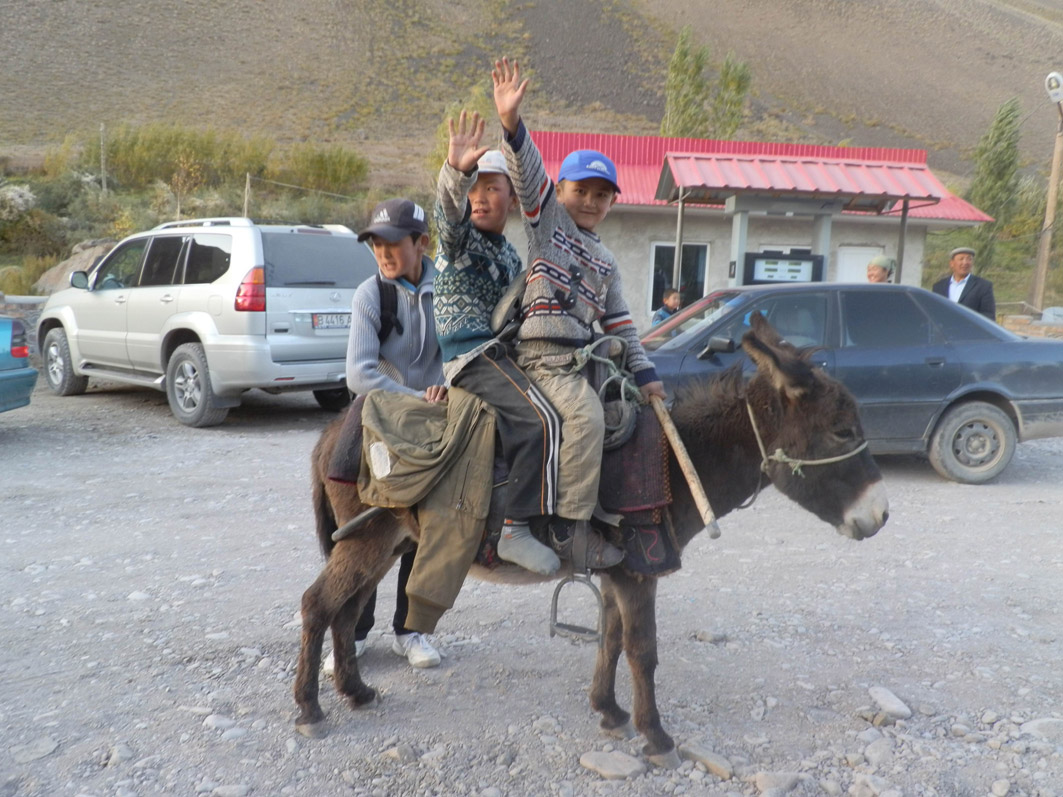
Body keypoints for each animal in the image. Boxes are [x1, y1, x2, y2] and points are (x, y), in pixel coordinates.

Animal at [293, 314, 889, 766]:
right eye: (842, 432)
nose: (882, 515)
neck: (674, 462)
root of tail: (334, 430)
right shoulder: (641, 571)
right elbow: (642, 650)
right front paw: (657, 738)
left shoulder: (620, 571)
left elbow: (611, 639)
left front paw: (610, 713)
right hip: (367, 540)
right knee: (318, 604)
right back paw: (310, 711)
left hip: (387, 543)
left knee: (346, 611)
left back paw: (356, 693)